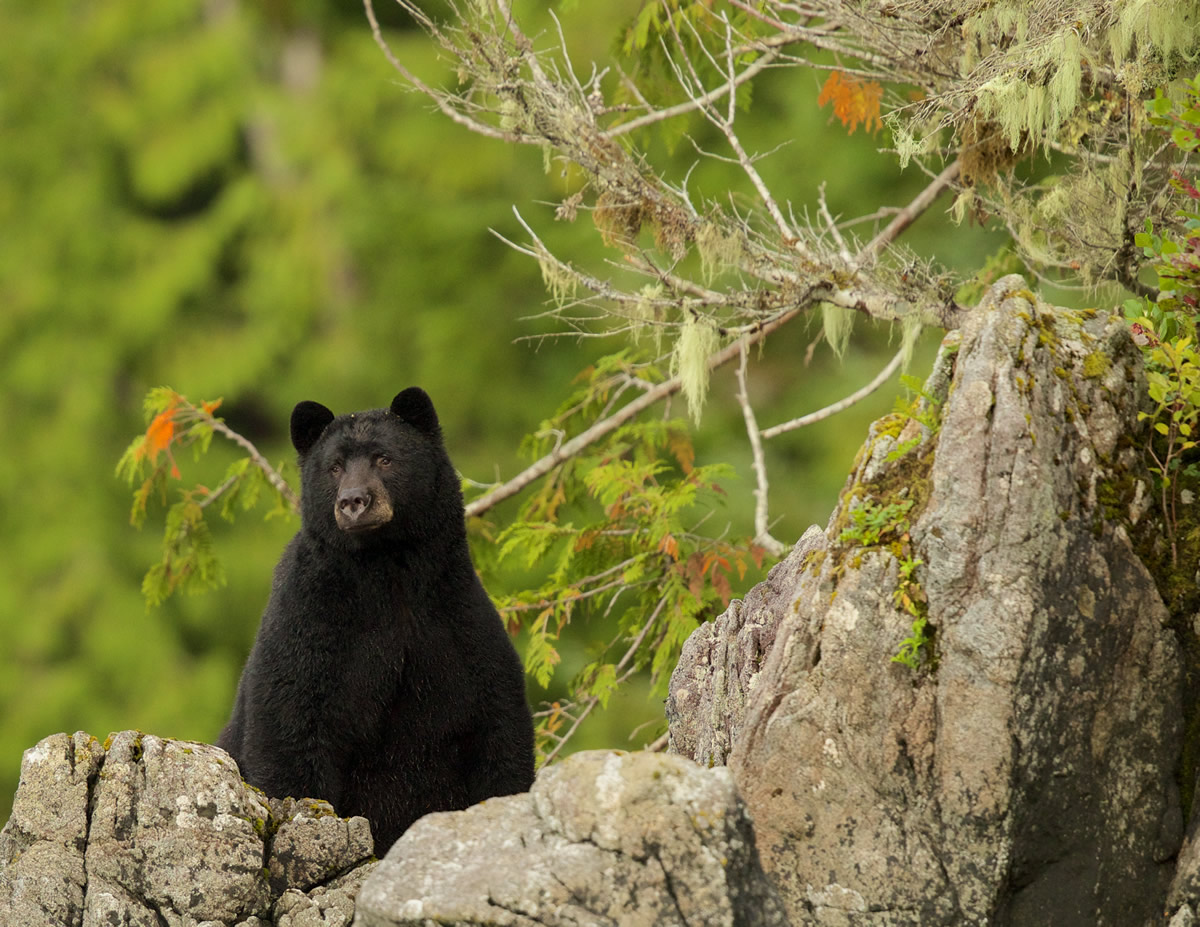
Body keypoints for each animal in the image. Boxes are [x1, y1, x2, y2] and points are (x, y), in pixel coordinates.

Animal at [217, 386, 535, 850]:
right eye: (333, 467)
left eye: (384, 458)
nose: (353, 501)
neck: (388, 575)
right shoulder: (308, 624)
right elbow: (289, 729)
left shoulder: (459, 626)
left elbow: (498, 735)